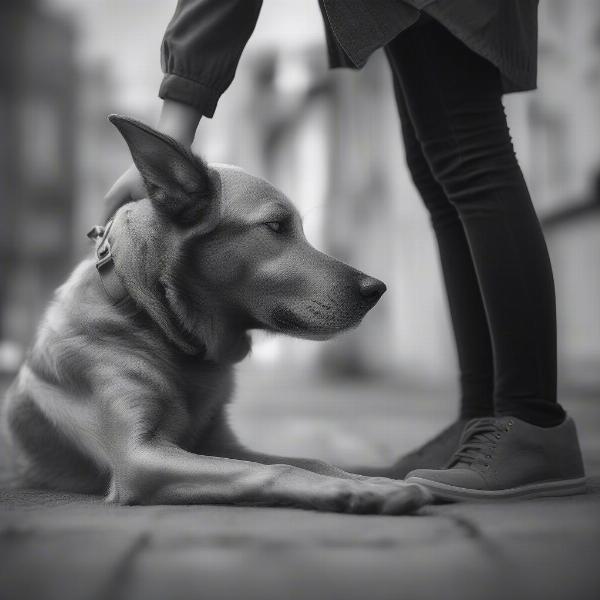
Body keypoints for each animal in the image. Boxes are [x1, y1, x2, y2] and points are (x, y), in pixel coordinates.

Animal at [1, 117, 432, 516]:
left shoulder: (222, 444)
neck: (152, 319)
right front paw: (360, 489)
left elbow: (309, 460)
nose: (376, 289)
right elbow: (278, 470)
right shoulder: (139, 460)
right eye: (276, 226)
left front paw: (371, 480)